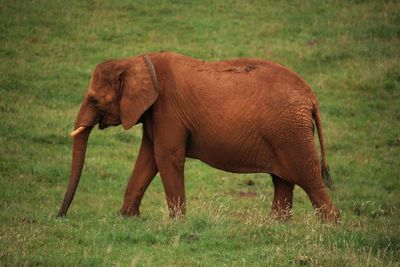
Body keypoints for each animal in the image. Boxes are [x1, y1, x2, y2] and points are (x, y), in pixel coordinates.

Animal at [58, 50, 340, 222]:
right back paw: (275, 228)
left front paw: (176, 224)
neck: (136, 60)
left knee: (310, 179)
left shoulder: (168, 110)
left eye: (94, 100)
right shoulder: (154, 113)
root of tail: (311, 97)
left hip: (291, 132)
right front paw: (127, 218)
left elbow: (166, 157)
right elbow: (148, 158)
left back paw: (329, 229)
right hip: (285, 131)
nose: (60, 216)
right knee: (283, 181)